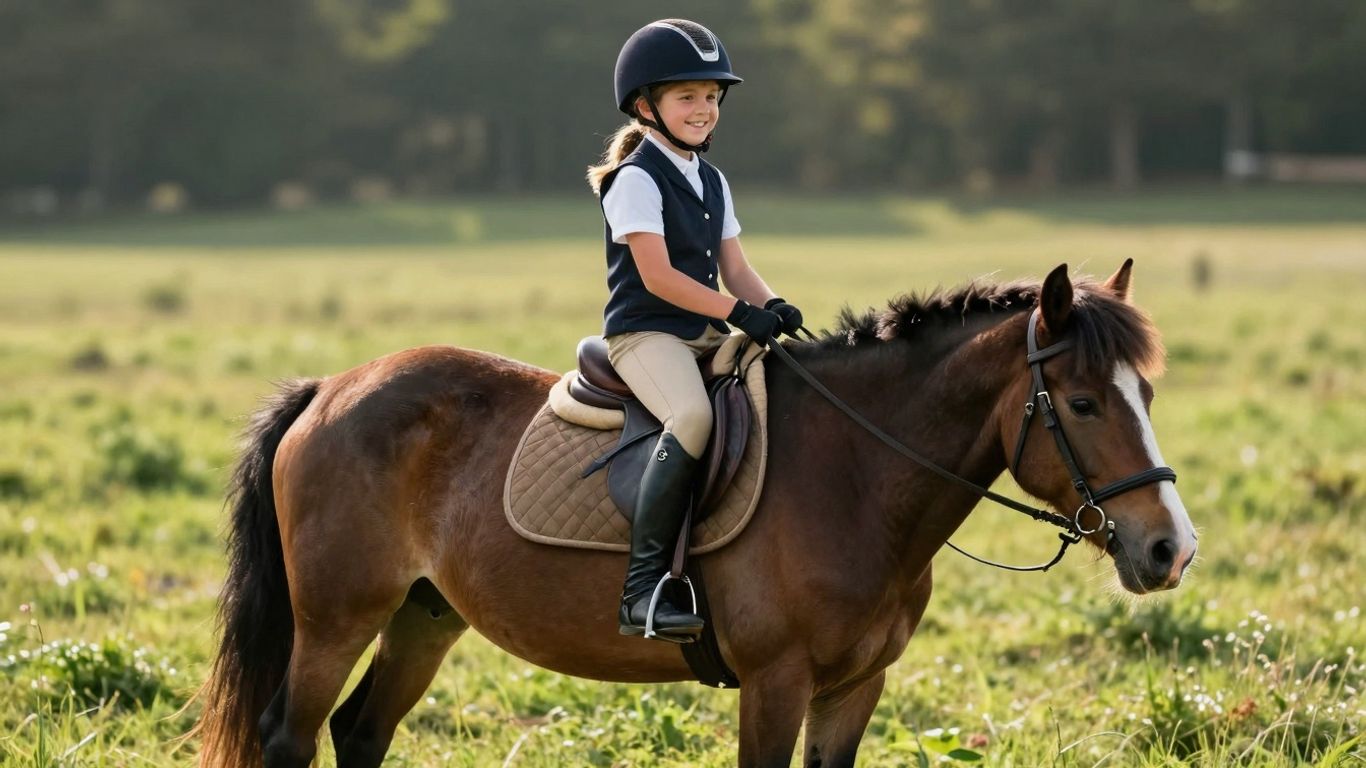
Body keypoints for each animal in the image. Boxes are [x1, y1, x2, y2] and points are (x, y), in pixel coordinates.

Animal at [194, 260, 1197, 768]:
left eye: (1147, 392)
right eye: (1082, 404)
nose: (1169, 549)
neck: (855, 475)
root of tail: (334, 387)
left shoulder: (852, 689)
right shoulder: (776, 681)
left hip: (422, 617)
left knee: (362, 734)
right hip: (338, 618)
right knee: (291, 736)